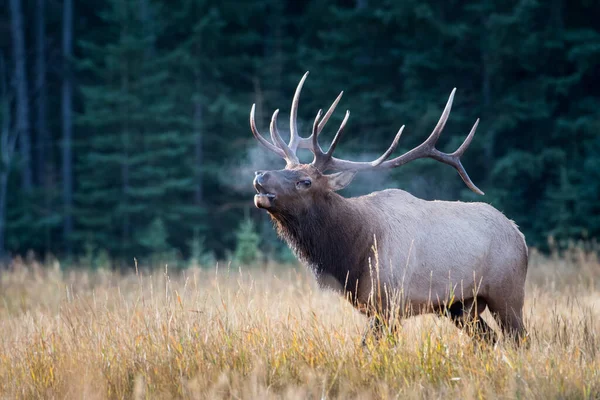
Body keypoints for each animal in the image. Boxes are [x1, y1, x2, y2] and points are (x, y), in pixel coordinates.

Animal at [251, 72, 528, 344]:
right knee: (488, 339)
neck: (352, 252)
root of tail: (520, 234)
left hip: (507, 292)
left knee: (519, 338)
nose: (260, 175)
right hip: (460, 305)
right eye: (286, 168)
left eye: (305, 181)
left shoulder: (390, 303)